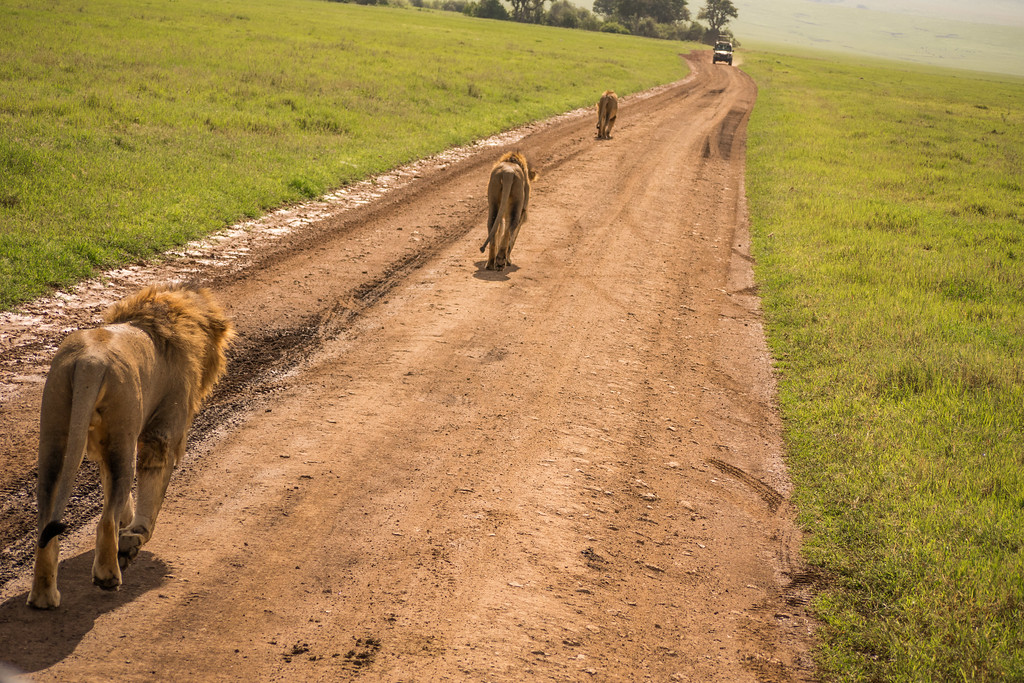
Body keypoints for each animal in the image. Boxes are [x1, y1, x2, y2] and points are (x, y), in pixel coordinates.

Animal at [27, 283, 234, 609]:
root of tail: (90, 362)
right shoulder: (164, 429)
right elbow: (152, 487)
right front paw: (133, 537)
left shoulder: (102, 443)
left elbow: (114, 486)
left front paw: (128, 526)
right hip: (123, 429)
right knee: (106, 519)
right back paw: (109, 575)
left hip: (55, 430)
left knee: (48, 516)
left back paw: (44, 597)